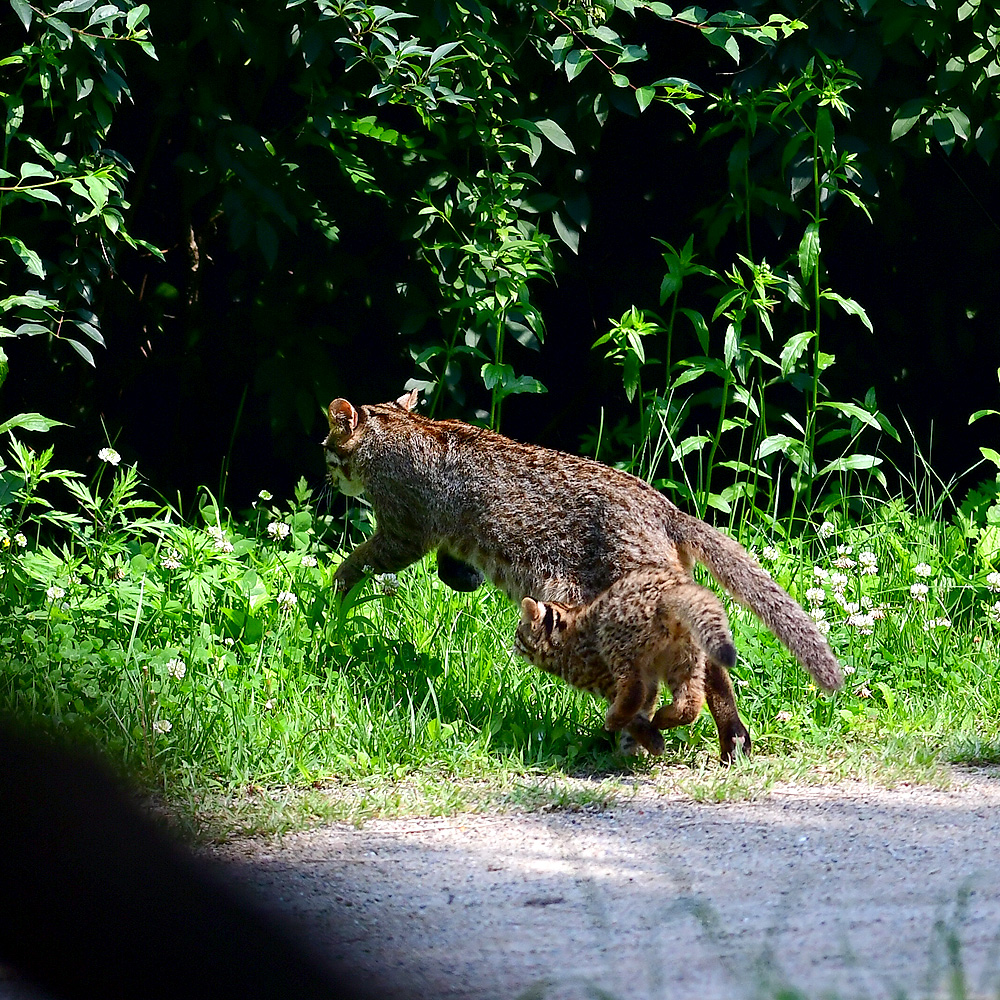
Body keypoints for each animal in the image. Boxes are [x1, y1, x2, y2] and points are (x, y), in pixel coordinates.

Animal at [520, 568, 740, 752]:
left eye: (518, 633)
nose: (514, 643)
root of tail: (669, 590)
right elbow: (644, 711)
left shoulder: (605, 680)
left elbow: (636, 714)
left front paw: (647, 743)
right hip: (686, 658)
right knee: (690, 701)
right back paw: (663, 719)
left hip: (619, 648)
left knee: (634, 691)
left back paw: (614, 720)